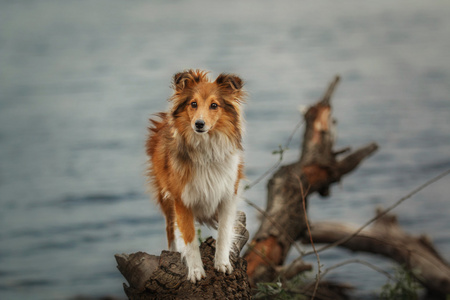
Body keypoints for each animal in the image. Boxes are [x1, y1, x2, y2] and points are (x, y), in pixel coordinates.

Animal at [145, 69, 244, 282]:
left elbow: (224, 231)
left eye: (214, 105)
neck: (205, 149)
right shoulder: (182, 200)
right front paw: (196, 271)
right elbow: (189, 239)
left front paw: (222, 263)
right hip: (165, 197)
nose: (199, 124)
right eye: (193, 104)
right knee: (170, 229)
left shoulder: (227, 194)